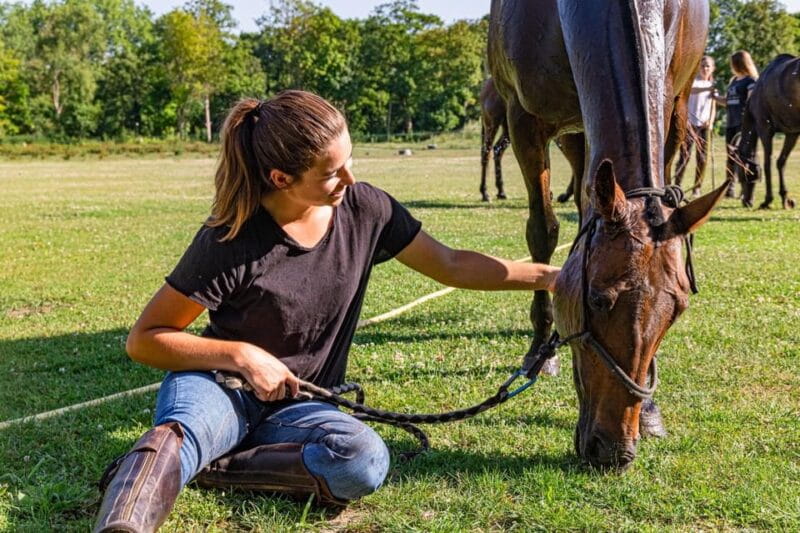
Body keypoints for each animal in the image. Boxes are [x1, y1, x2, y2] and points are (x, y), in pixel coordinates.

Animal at [488, 0, 727, 469]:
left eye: (678, 309)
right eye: (597, 300)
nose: (614, 449)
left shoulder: (668, 102)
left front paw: (650, 409)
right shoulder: (524, 119)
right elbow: (542, 231)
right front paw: (540, 350)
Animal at [737, 53, 799, 209]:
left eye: (741, 174)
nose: (747, 201)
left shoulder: (764, 129)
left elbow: (767, 163)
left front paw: (767, 200)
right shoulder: (792, 133)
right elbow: (781, 162)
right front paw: (785, 198)